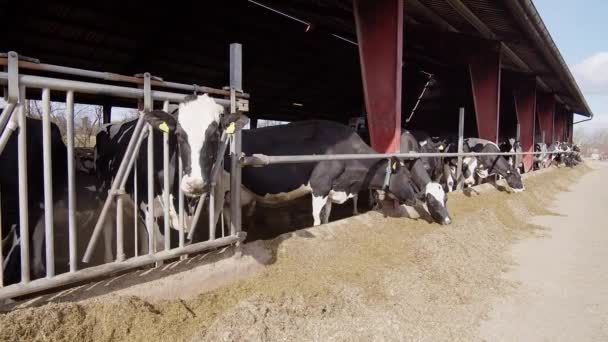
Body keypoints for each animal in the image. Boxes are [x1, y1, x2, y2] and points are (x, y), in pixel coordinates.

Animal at [142, 94, 418, 227]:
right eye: (407, 177)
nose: (418, 199)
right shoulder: (319, 187)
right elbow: (317, 220)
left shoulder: (332, 190)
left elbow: (327, 218)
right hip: (215, 190)